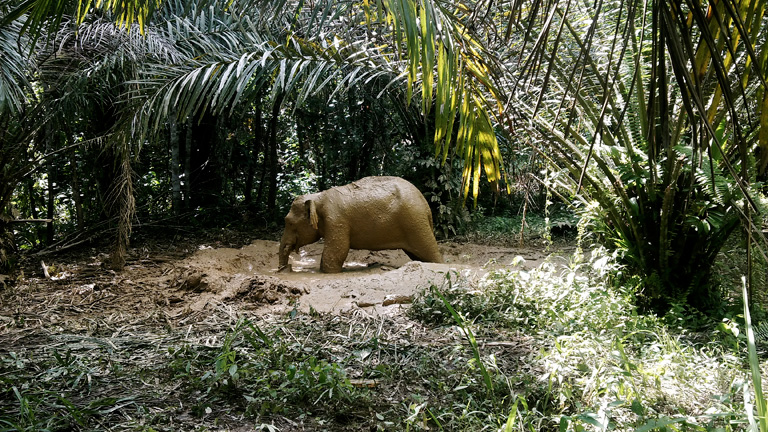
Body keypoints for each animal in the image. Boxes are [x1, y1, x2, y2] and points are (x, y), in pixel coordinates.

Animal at [278, 176, 444, 274]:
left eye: (289, 222)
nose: (285, 268)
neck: (318, 197)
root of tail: (426, 206)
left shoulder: (336, 220)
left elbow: (338, 251)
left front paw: (328, 273)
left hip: (415, 222)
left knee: (431, 252)